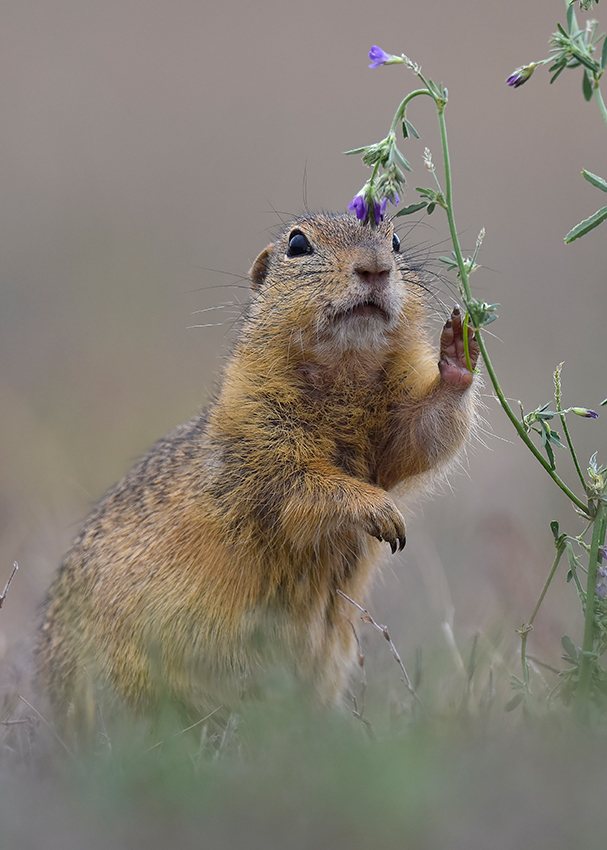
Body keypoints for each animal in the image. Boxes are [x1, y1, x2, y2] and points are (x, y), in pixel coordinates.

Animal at [36, 214, 480, 736]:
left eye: (394, 240)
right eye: (298, 243)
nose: (375, 268)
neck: (346, 373)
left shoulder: (391, 428)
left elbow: (423, 435)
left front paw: (459, 348)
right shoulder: (256, 435)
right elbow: (302, 487)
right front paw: (379, 510)